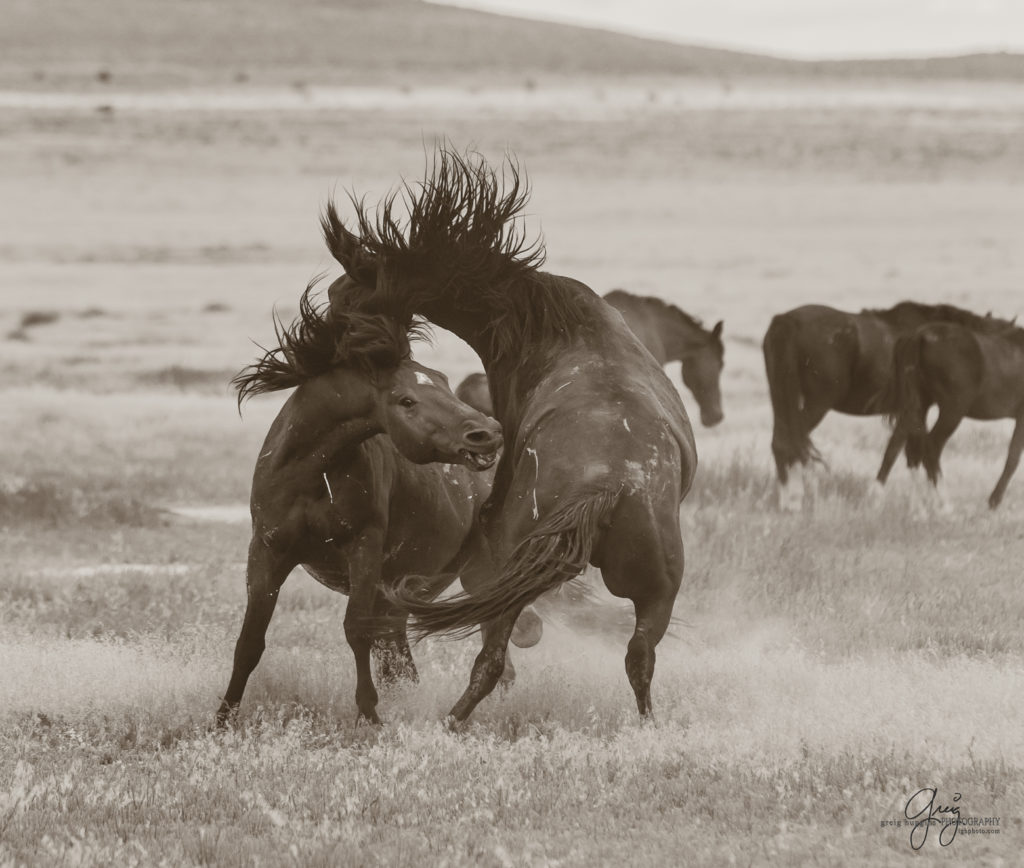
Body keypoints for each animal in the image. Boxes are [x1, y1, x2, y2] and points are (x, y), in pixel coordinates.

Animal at [218, 286, 509, 724]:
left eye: (442, 380)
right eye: (406, 400)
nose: (486, 434)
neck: (310, 476)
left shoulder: (364, 547)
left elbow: (356, 629)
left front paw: (369, 715)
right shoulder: (267, 550)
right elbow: (250, 639)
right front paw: (223, 718)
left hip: (482, 574)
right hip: (402, 594)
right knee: (402, 658)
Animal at [319, 145, 696, 720]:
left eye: (345, 297)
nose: (321, 353)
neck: (551, 326)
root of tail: (606, 485)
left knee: (495, 652)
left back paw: (453, 720)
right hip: (655, 591)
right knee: (635, 656)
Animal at [888, 311, 1024, 507]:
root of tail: (920, 335)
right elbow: (1013, 458)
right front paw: (994, 501)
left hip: (918, 405)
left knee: (905, 448)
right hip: (952, 411)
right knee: (931, 447)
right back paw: (943, 502)